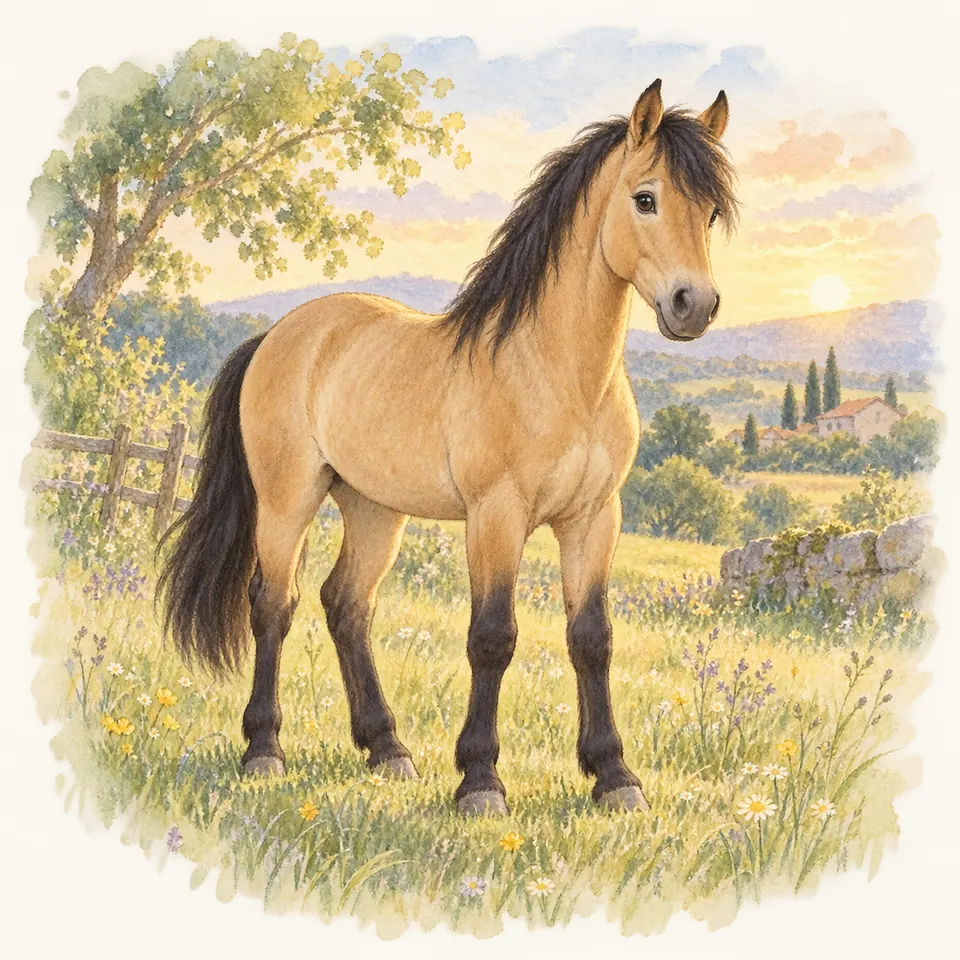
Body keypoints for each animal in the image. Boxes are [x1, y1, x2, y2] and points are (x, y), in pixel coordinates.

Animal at [159, 78, 738, 816]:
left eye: (712, 211)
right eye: (645, 197)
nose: (694, 305)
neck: (555, 373)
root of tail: (280, 334)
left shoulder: (593, 519)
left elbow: (591, 638)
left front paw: (614, 776)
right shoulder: (496, 516)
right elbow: (493, 637)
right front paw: (481, 781)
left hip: (375, 509)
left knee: (347, 605)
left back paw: (387, 750)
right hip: (288, 501)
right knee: (273, 604)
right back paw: (264, 751)